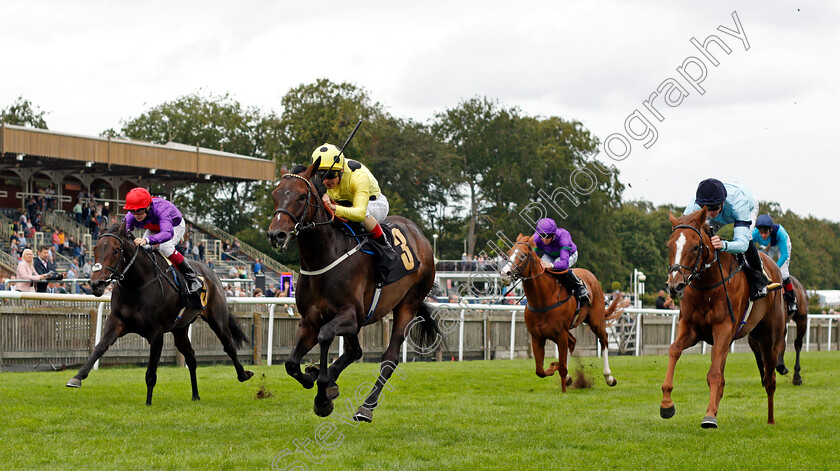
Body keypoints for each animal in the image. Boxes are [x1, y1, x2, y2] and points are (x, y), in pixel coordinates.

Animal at [65, 223, 253, 404]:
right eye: (95, 249)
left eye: (116, 250)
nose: (96, 284)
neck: (136, 284)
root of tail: (211, 272)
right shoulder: (116, 323)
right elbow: (99, 348)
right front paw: (77, 377)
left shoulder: (156, 333)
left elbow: (151, 372)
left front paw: (148, 403)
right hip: (180, 329)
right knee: (191, 357)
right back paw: (195, 395)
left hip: (217, 320)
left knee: (229, 346)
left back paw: (243, 375)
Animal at [268, 159, 440, 424]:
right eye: (276, 195)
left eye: (301, 196)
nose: (276, 235)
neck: (324, 256)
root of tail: (419, 234)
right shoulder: (310, 320)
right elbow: (291, 363)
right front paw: (315, 378)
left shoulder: (351, 314)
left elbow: (325, 336)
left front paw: (322, 395)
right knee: (354, 350)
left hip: (409, 303)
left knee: (389, 358)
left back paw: (366, 407)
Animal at [498, 232, 624, 390]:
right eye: (509, 253)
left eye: (523, 255)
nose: (505, 273)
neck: (543, 299)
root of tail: (592, 277)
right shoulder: (537, 336)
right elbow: (540, 371)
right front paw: (556, 368)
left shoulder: (560, 332)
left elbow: (560, 365)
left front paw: (558, 368)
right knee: (573, 342)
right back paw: (570, 378)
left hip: (595, 321)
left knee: (604, 339)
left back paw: (609, 377)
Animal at [664, 209, 788, 428]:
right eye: (669, 246)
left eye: (695, 247)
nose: (674, 286)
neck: (707, 286)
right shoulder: (691, 329)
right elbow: (674, 350)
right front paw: (666, 404)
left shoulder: (722, 328)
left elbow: (714, 374)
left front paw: (709, 416)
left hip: (768, 337)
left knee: (769, 378)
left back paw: (771, 420)